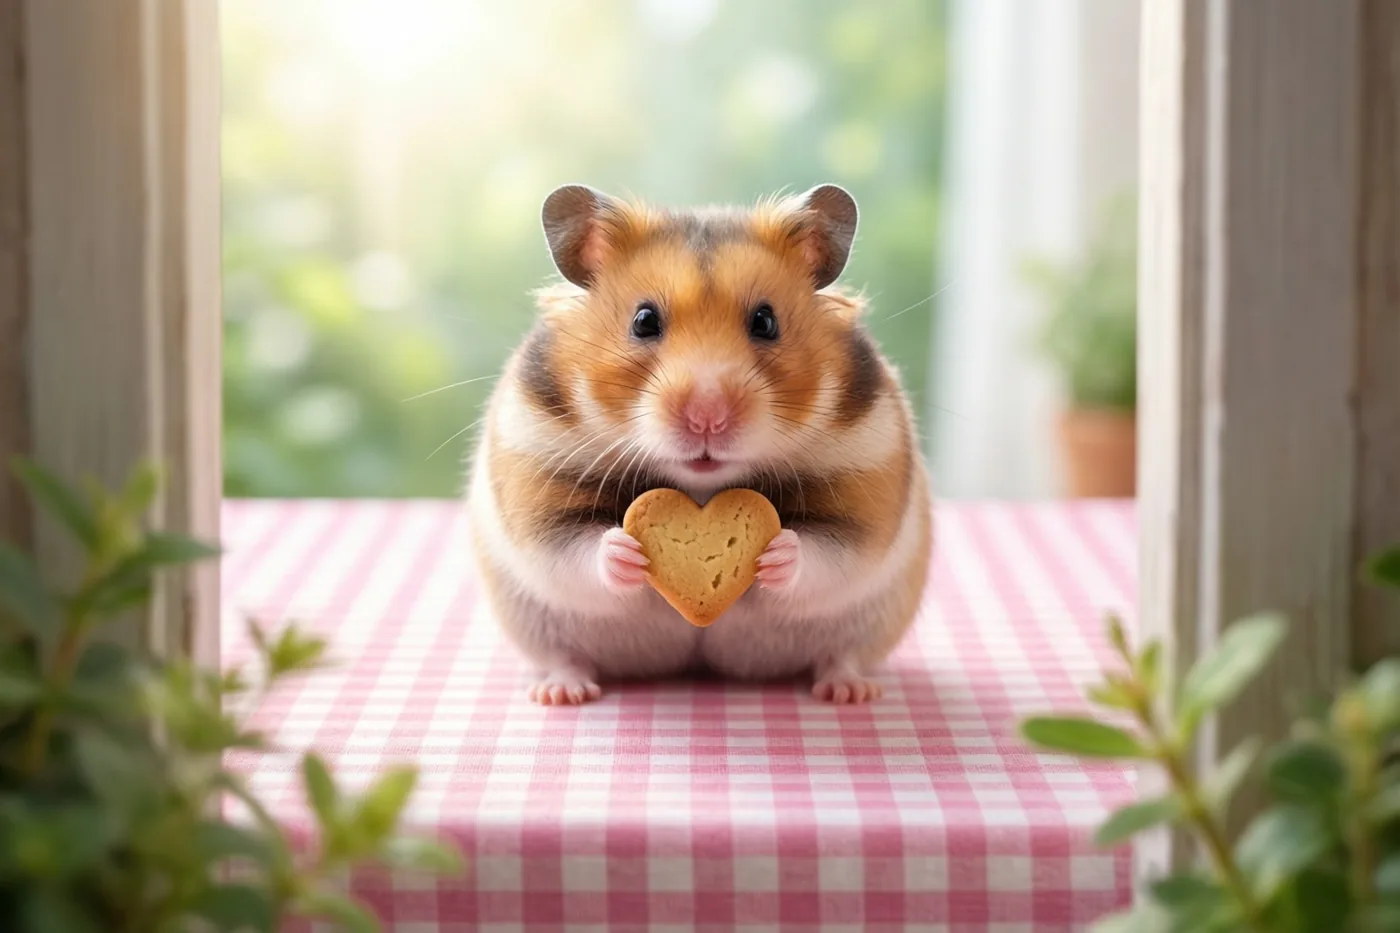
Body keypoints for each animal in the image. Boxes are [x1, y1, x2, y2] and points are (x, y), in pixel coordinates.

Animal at [467, 183, 933, 705]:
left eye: (765, 321)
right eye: (644, 321)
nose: (707, 417)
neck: (701, 484)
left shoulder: (865, 486)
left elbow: (826, 553)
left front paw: (775, 553)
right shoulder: (536, 475)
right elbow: (574, 548)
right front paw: (626, 549)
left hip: (873, 623)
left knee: (841, 655)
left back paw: (848, 691)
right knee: (563, 656)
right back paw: (561, 692)